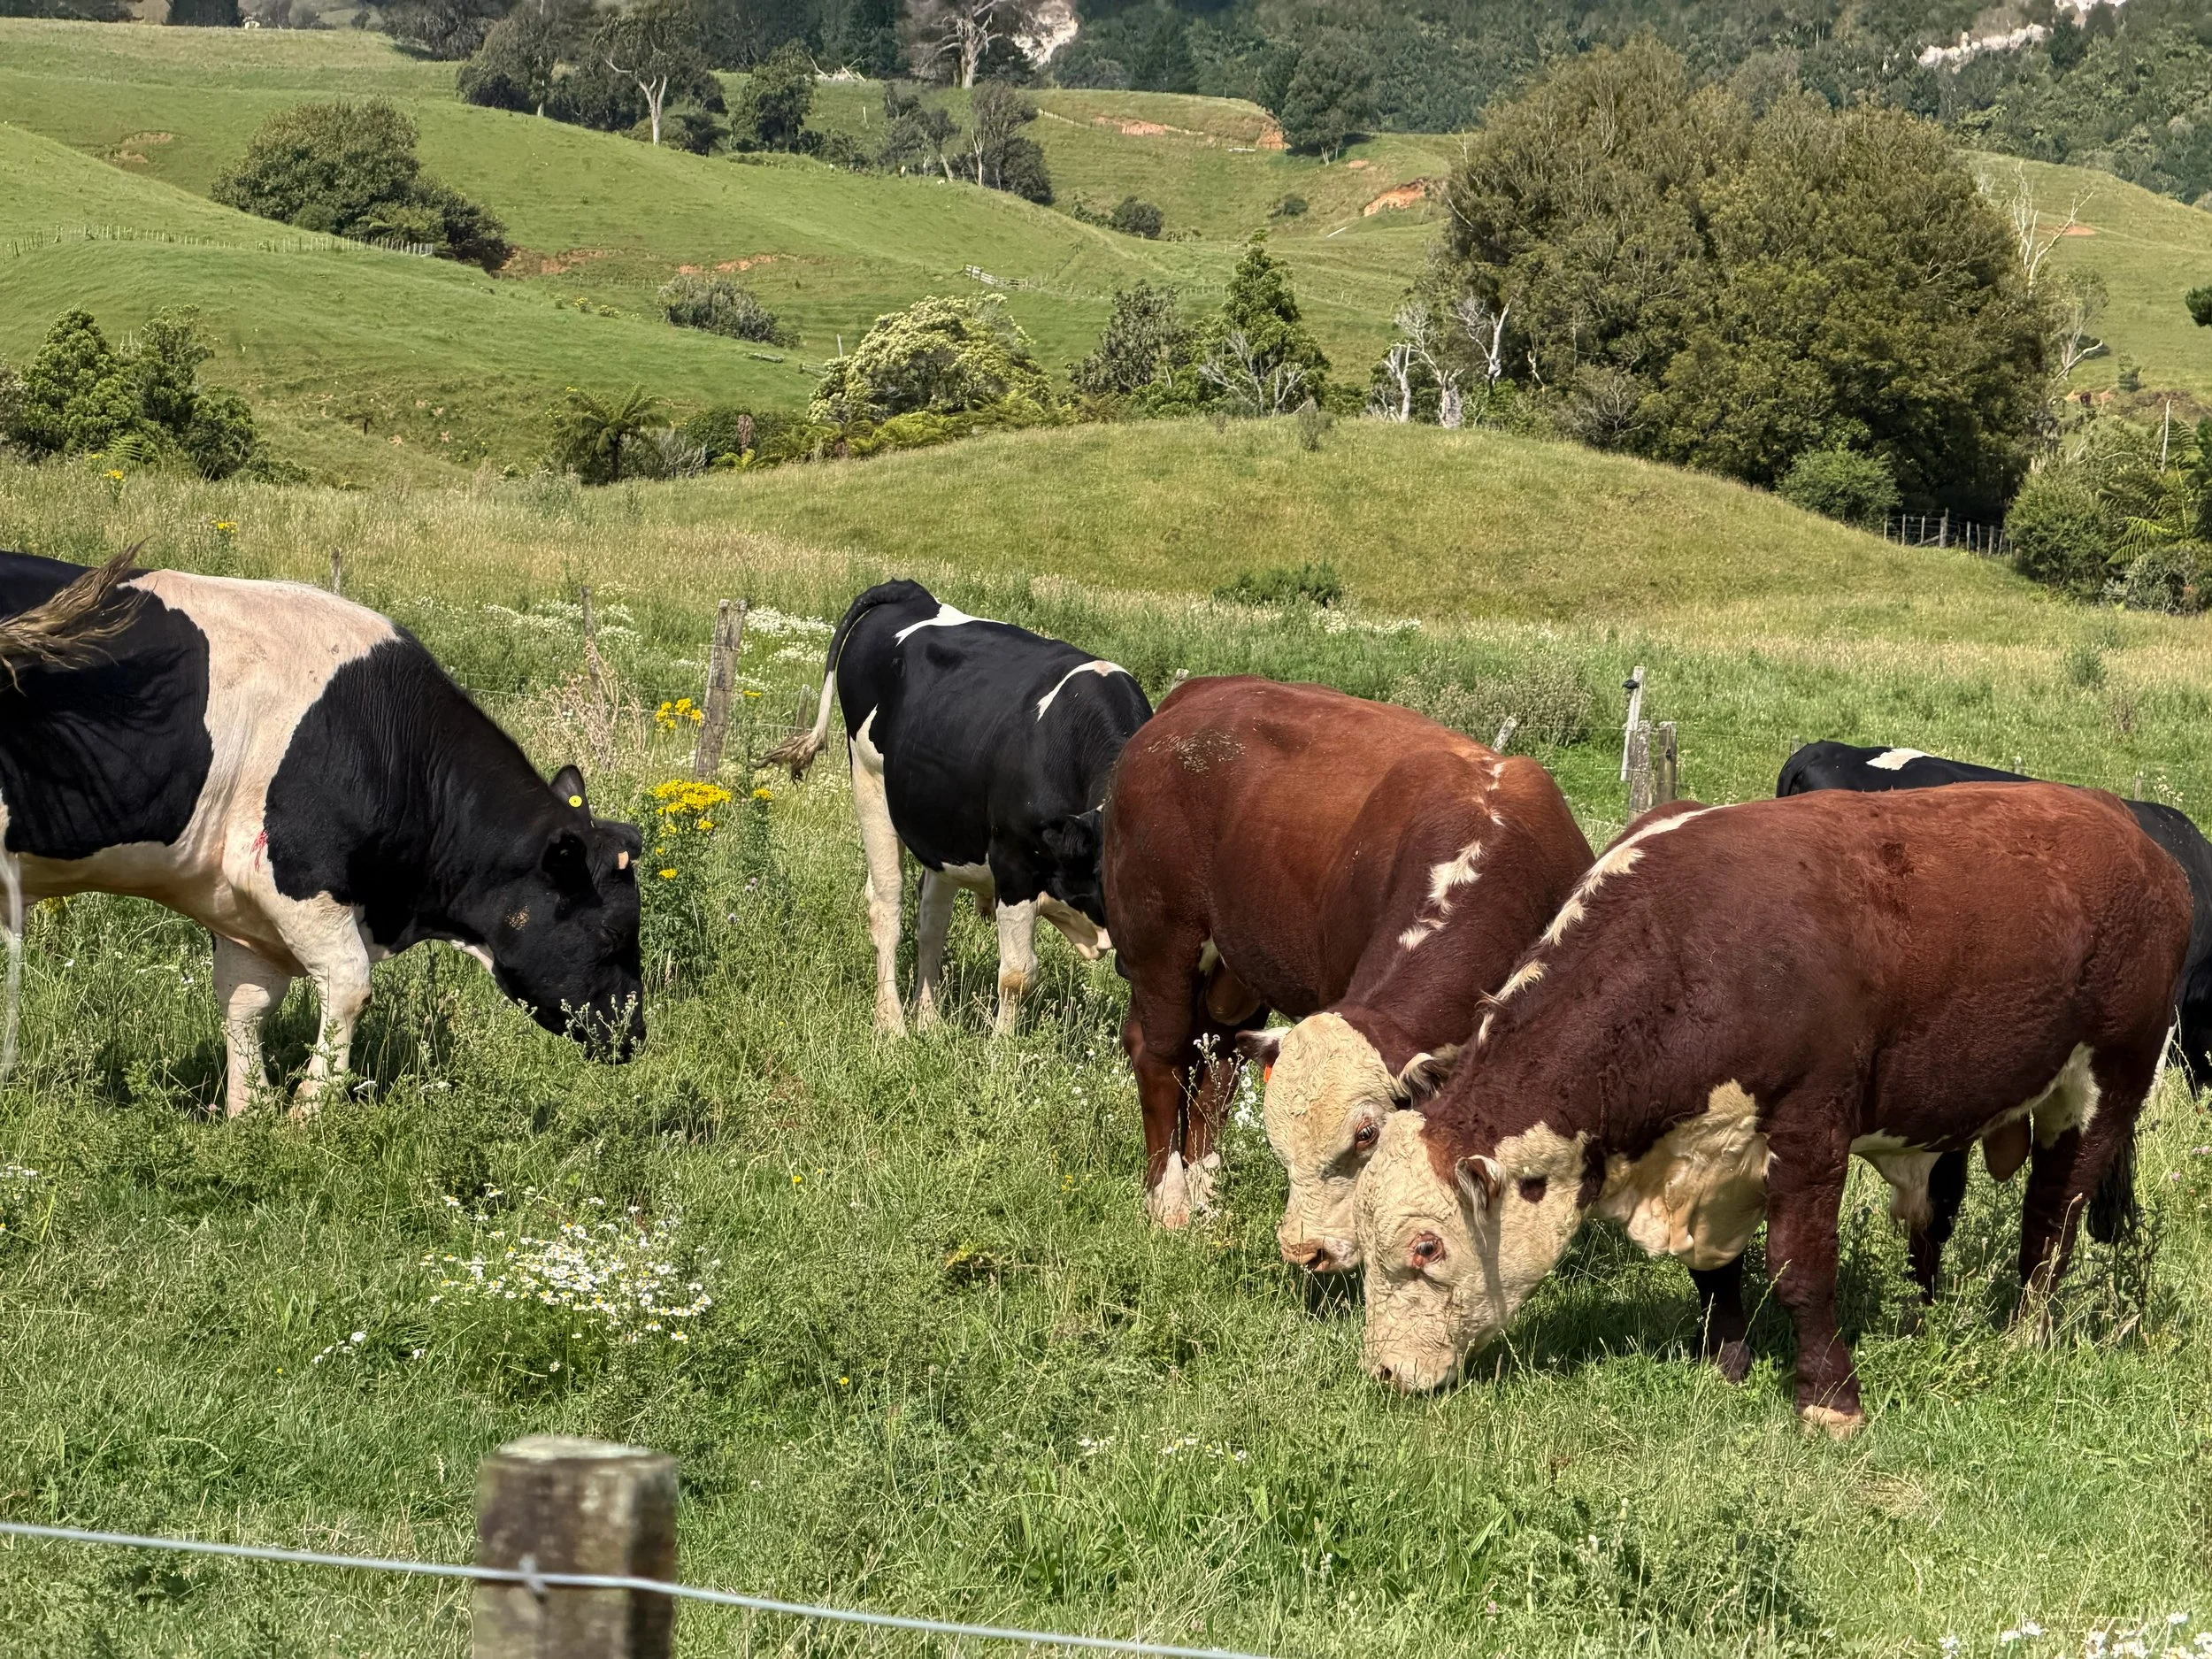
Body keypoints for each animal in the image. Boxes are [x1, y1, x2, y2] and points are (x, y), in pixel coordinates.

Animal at [0, 549, 645, 1117]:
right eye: (614, 932)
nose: (635, 1033)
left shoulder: (238, 901)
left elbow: (245, 1001)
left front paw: (249, 1114)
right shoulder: (298, 877)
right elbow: (349, 986)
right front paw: (306, 1114)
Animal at [765, 580, 1152, 1036]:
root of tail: (908, 592)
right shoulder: (1014, 865)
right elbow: (1018, 973)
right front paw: (1002, 1049)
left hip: (940, 825)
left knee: (931, 921)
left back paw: (928, 1019)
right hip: (869, 781)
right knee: (886, 907)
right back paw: (892, 1022)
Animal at [1101, 677, 1594, 1234]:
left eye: (1367, 1134)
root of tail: (1194, 693)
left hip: (1233, 971)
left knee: (1218, 1063)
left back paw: (1206, 1193)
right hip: (1159, 944)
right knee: (1160, 1055)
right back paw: (1170, 1200)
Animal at [1354, 785, 2188, 1437]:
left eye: (1426, 1245)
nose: (1385, 1372)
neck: (1690, 949)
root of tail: (2130, 830)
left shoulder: (1810, 1127)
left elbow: (1800, 1268)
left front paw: (1830, 1399)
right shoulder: (1709, 1156)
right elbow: (1715, 1271)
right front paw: (1725, 1361)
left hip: (2105, 1085)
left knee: (2053, 1216)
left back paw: (2024, 1333)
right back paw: (1922, 1314)